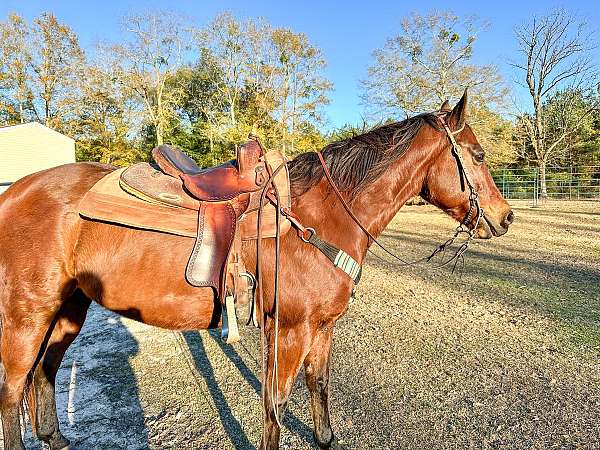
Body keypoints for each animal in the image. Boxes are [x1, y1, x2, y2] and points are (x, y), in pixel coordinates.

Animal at [0, 89, 512, 448]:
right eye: (479, 155)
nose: (505, 217)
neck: (320, 216)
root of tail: (15, 192)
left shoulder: (321, 328)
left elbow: (319, 394)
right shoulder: (288, 329)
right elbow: (276, 406)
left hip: (69, 309)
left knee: (44, 374)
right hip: (27, 316)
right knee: (12, 390)